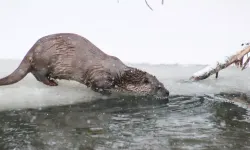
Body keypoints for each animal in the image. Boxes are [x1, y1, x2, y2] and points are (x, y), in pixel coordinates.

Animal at [0, 32, 170, 98]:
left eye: (162, 83)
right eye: (158, 87)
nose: (168, 92)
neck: (119, 75)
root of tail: (32, 50)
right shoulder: (99, 76)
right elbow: (96, 86)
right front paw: (108, 93)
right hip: (44, 61)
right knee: (38, 74)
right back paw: (52, 82)